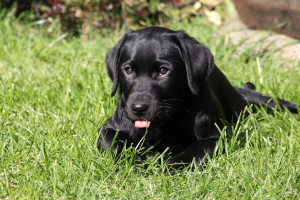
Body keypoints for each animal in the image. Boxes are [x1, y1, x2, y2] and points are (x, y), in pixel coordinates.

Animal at [97, 25, 298, 168]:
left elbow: (193, 152)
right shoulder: (108, 128)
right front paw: (131, 162)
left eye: (163, 71)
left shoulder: (216, 138)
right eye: (128, 70)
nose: (138, 109)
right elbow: (114, 141)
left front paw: (169, 168)